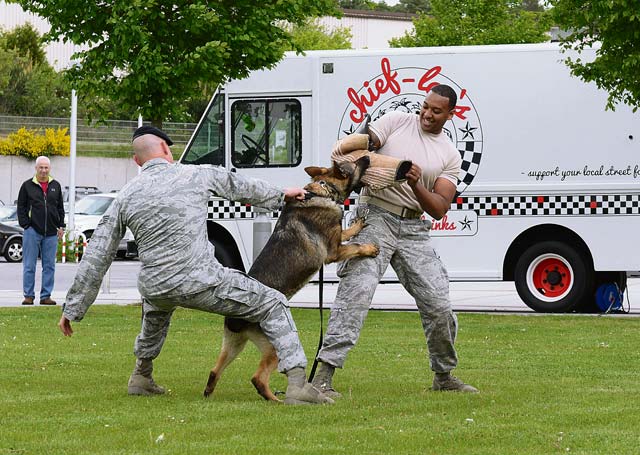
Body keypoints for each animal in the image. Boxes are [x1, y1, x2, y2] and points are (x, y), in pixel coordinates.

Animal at [204, 157, 380, 402]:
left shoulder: (337, 239)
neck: (322, 190)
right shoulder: (334, 251)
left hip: (234, 345)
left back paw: (209, 393)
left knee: (214, 370)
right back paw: (277, 400)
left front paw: (359, 224)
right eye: (353, 163)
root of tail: (236, 318)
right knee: (258, 378)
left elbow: (348, 232)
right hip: (275, 347)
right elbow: (354, 245)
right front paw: (369, 248)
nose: (368, 156)